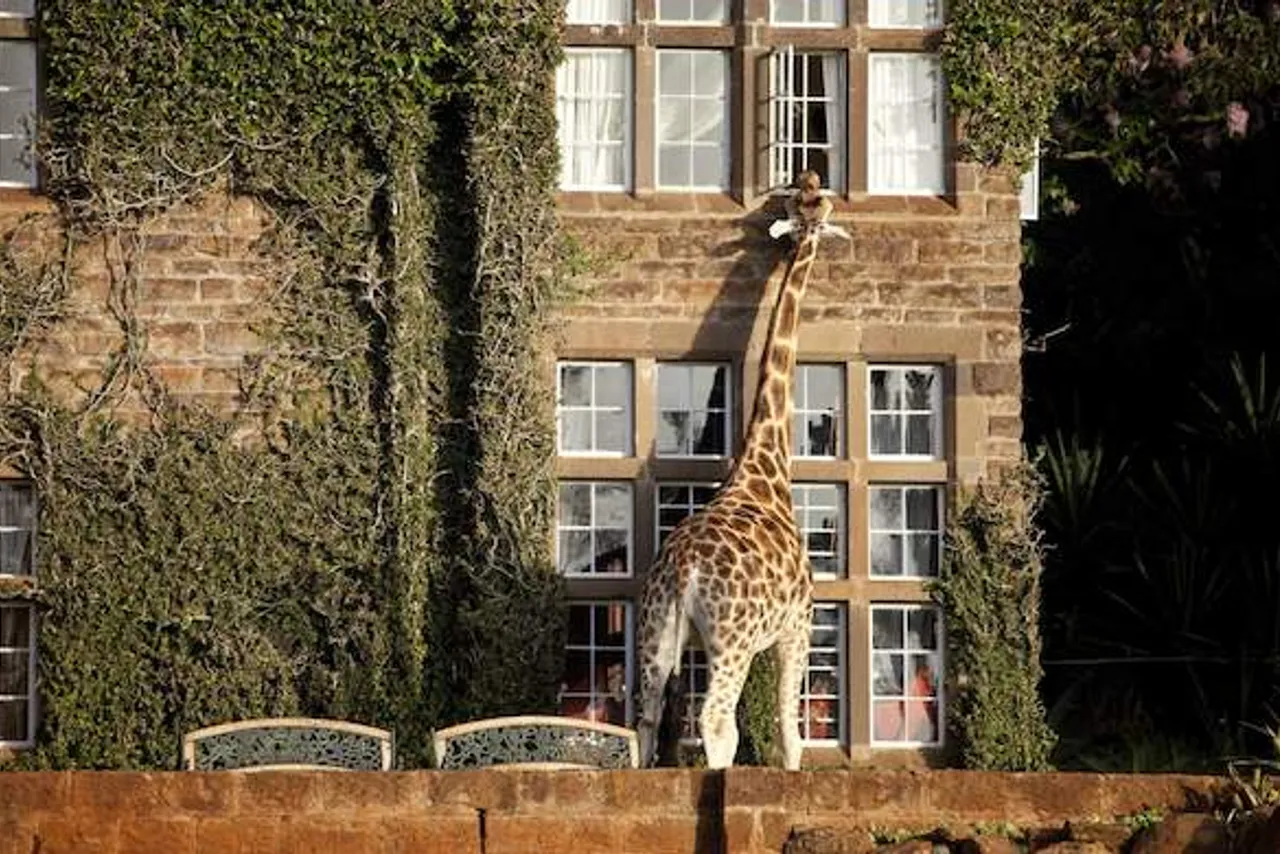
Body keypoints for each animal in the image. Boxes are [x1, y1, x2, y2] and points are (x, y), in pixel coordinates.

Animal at [635, 170, 841, 770]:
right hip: (734, 640)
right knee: (716, 723)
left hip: (658, 635)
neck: (765, 466)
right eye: (816, 206)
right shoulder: (799, 625)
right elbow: (790, 729)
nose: (812, 182)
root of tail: (683, 571)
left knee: (646, 719)